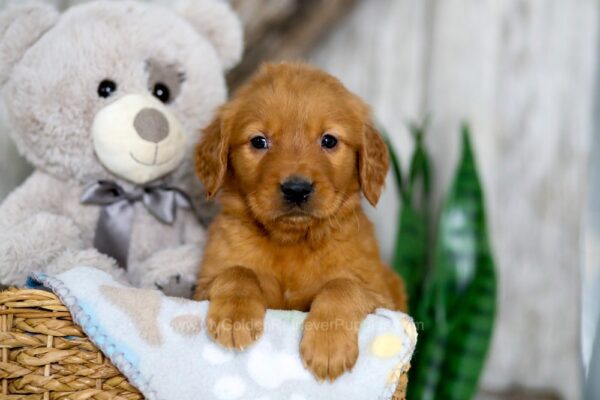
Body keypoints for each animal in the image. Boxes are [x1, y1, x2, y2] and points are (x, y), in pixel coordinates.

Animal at [195, 62, 406, 382]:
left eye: (329, 140)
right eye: (259, 141)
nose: (296, 189)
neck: (292, 240)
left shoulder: (381, 298)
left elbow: (343, 285)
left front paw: (328, 345)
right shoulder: (201, 288)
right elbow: (237, 271)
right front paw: (235, 316)